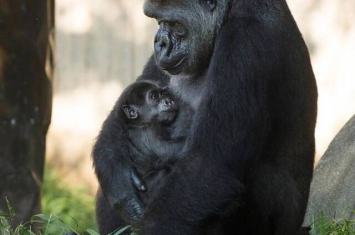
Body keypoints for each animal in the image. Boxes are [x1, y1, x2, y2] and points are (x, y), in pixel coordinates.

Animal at [93, 0, 318, 235]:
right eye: (157, 21)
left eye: (175, 24)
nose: (160, 43)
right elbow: (120, 117)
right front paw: (119, 180)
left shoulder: (245, 42)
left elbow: (207, 165)